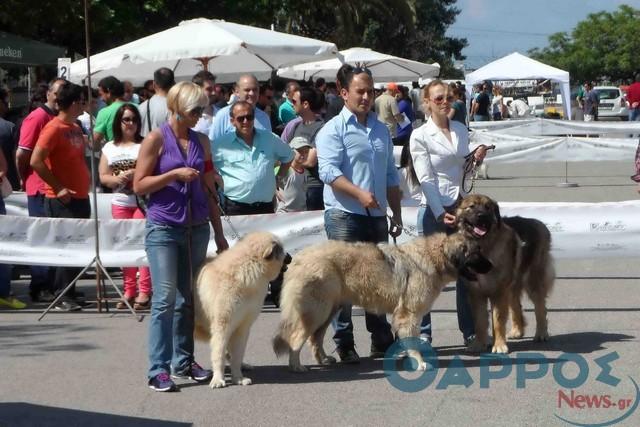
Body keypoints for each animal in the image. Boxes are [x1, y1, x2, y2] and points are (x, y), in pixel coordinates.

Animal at [194, 232, 286, 390]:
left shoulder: (242, 326)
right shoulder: (222, 325)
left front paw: (238, 378)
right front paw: (218, 379)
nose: (290, 257)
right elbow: (219, 353)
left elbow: (237, 353)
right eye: (282, 251)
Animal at [272, 232, 492, 372]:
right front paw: (419, 362)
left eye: (481, 250)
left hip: (329, 309)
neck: (435, 257)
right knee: (297, 337)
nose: (491, 266)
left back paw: (323, 359)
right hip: (318, 310)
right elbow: (411, 338)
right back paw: (296, 366)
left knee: (315, 337)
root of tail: (297, 258)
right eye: (476, 253)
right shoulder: (409, 314)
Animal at [456, 196, 556, 356]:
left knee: (540, 307)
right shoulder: (476, 293)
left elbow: (498, 320)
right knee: (516, 305)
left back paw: (541, 333)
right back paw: (517, 331)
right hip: (512, 285)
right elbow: (480, 322)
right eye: (471, 207)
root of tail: (540, 224)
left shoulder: (498, 291)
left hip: (532, 279)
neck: (483, 246)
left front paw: (499, 346)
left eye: (488, 208)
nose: (481, 216)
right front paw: (478, 344)